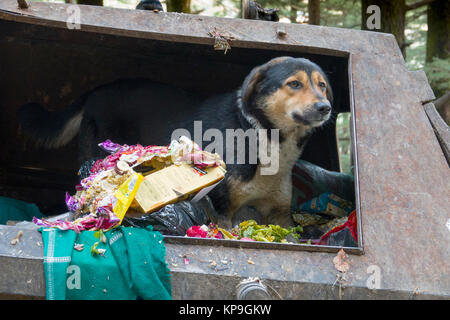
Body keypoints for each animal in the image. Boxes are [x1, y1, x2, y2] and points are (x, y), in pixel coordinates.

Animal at [19, 57, 332, 228]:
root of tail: (96, 91)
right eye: (294, 84)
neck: (259, 131)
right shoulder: (223, 210)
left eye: (322, 85)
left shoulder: (279, 214)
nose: (325, 107)